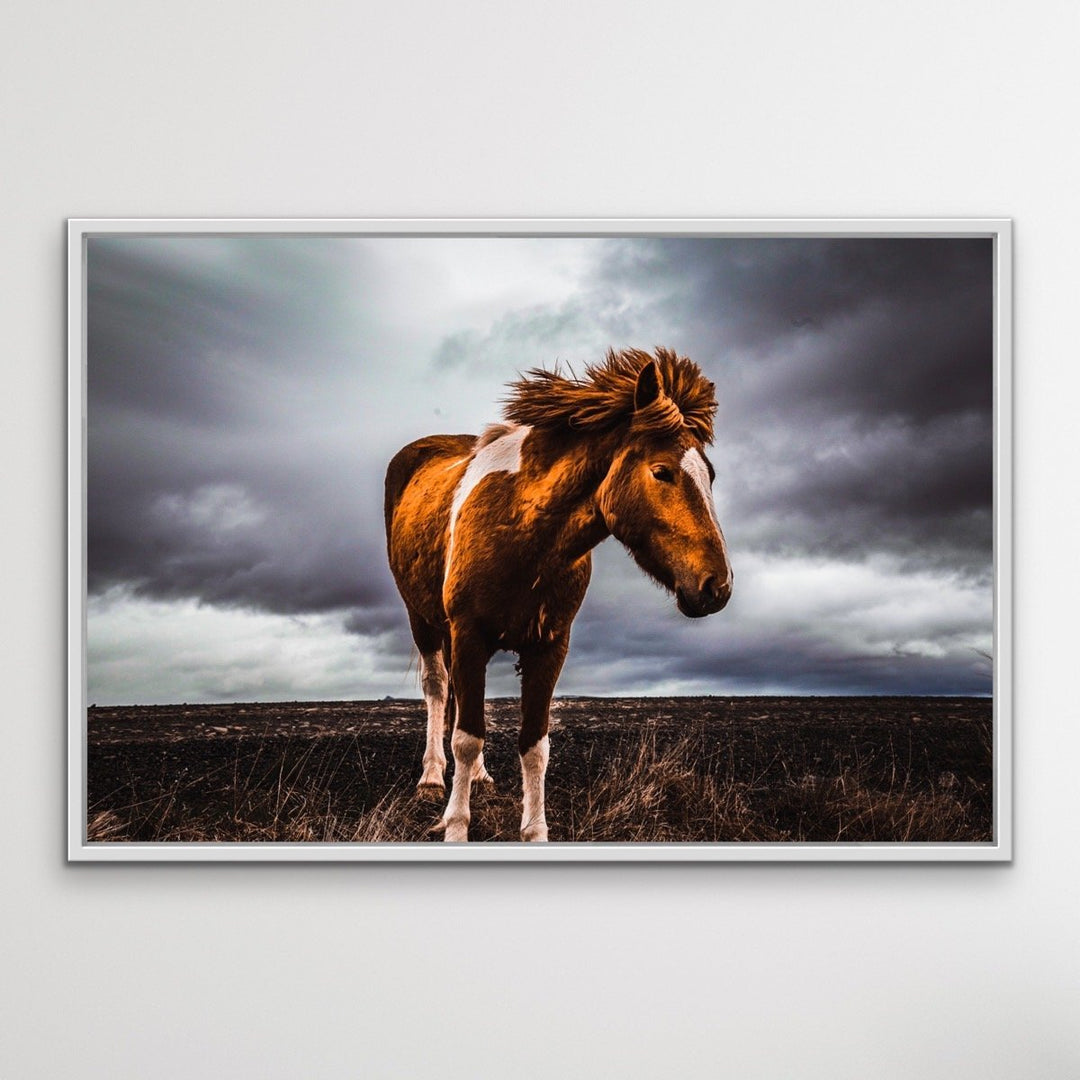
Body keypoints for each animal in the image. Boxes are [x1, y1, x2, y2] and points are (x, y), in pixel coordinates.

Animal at [383, 346, 732, 842]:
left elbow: (534, 744)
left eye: (711, 475)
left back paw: (479, 777)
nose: (717, 586)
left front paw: (534, 830)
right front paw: (456, 826)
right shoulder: (468, 634)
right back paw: (432, 778)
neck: (523, 529)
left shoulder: (550, 645)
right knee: (437, 689)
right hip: (425, 620)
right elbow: (466, 737)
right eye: (661, 471)